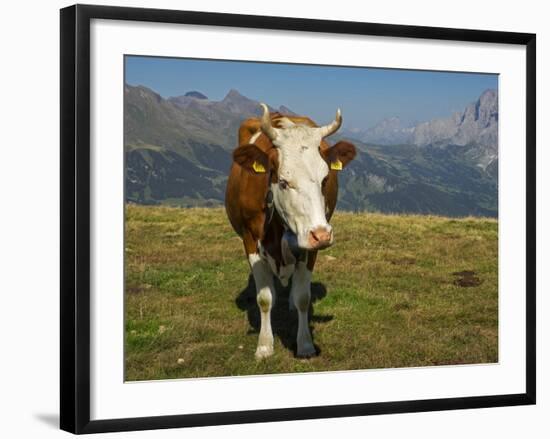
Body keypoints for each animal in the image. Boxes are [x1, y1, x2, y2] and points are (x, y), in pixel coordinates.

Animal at [224, 105, 358, 360]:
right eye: (284, 182)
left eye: (325, 179)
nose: (322, 235)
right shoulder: (250, 241)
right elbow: (264, 298)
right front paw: (264, 346)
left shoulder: (310, 248)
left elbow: (303, 298)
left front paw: (305, 344)